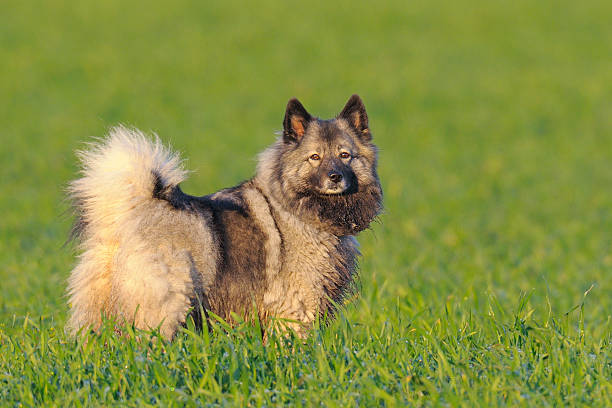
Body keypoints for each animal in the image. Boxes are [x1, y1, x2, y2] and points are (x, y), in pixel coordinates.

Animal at [67, 94, 382, 340]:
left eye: (345, 155)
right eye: (315, 157)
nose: (335, 177)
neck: (297, 209)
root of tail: (131, 212)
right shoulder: (296, 308)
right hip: (165, 306)